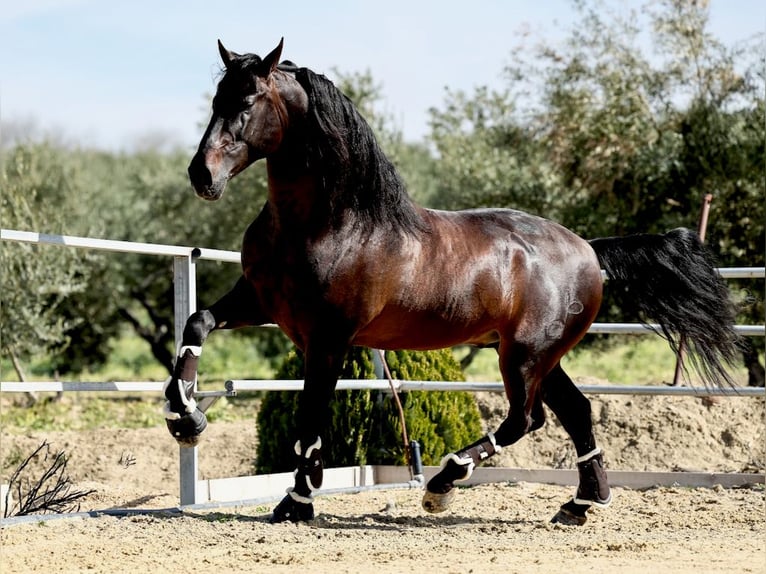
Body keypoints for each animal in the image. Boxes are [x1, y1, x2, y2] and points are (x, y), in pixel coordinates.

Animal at [164, 39, 744, 528]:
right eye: (216, 98)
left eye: (248, 101)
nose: (201, 175)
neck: (330, 224)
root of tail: (587, 248)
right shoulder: (262, 302)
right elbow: (196, 323)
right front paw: (185, 418)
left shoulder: (327, 340)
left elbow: (310, 425)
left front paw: (296, 503)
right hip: (542, 356)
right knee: (575, 411)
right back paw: (579, 504)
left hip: (524, 356)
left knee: (525, 419)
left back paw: (442, 484)